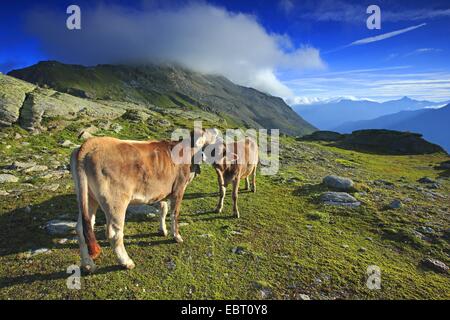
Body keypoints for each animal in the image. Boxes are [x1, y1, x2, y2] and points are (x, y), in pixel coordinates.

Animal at [71, 130, 208, 272]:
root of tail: (90, 143)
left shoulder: (162, 191)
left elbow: (163, 210)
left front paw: (162, 230)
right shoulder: (179, 188)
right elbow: (175, 214)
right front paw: (176, 236)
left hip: (88, 197)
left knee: (81, 228)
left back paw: (88, 264)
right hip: (116, 200)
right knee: (114, 233)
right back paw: (126, 262)